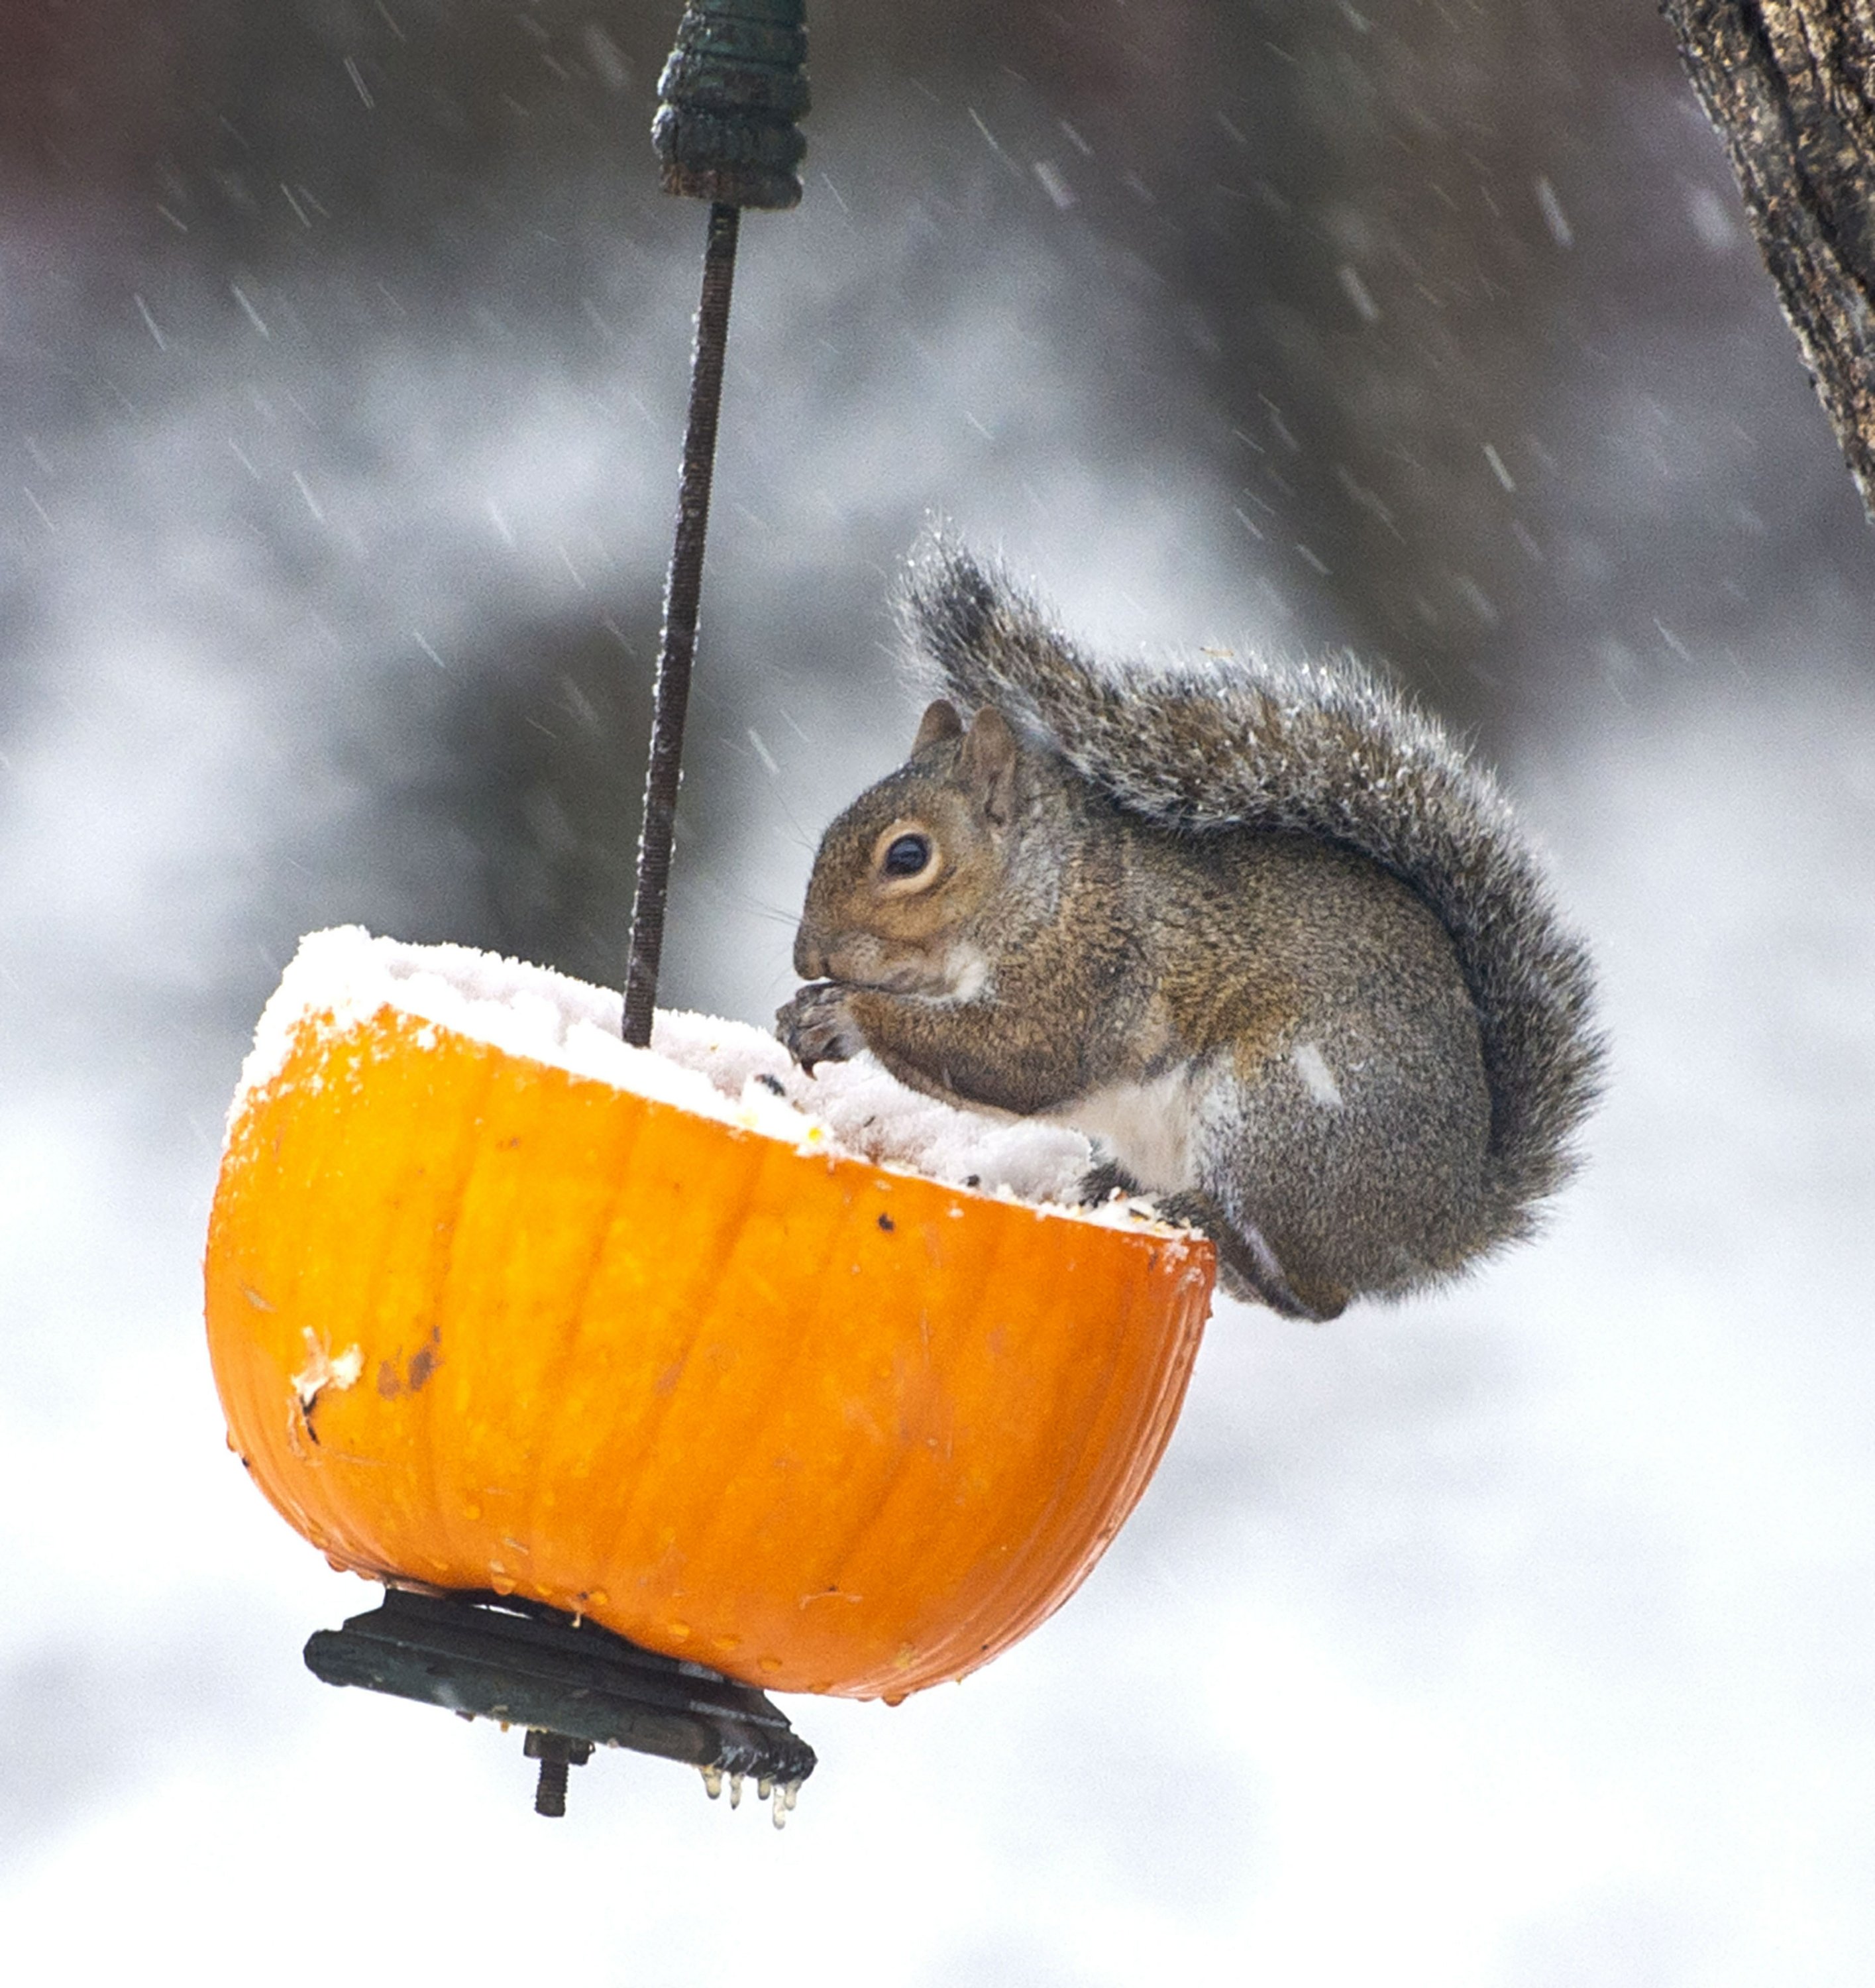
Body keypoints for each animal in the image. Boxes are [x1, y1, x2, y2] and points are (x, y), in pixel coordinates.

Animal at [775, 545, 1598, 1320]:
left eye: (908, 856)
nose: (807, 957)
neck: (1040, 886)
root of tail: (1446, 1219)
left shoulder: (1090, 969)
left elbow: (1015, 1053)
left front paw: (840, 1013)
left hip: (1277, 1112)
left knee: (1309, 1295)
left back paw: (1208, 1231)